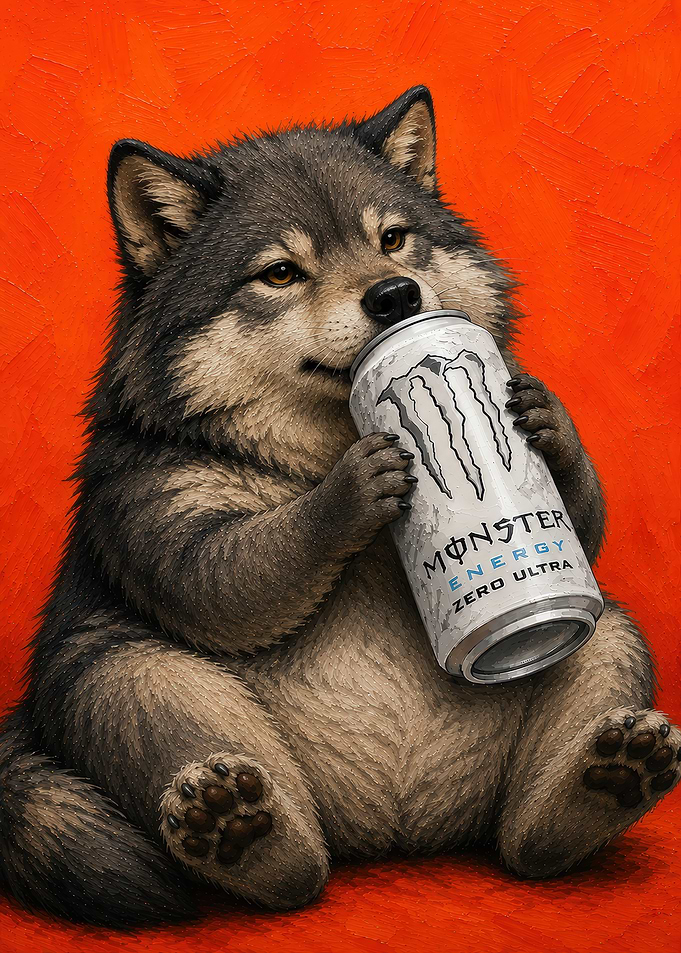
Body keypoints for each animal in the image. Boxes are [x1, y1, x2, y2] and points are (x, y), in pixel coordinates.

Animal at [0, 87, 678, 926]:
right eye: (280, 273)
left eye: (392, 239)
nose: (395, 296)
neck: (312, 451)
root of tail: (392, 834)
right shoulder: (153, 513)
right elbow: (229, 579)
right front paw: (358, 482)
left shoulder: (575, 558)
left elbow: (580, 520)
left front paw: (545, 420)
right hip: (124, 676)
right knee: (297, 866)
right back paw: (240, 835)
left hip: (607, 636)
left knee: (522, 844)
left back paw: (598, 785)